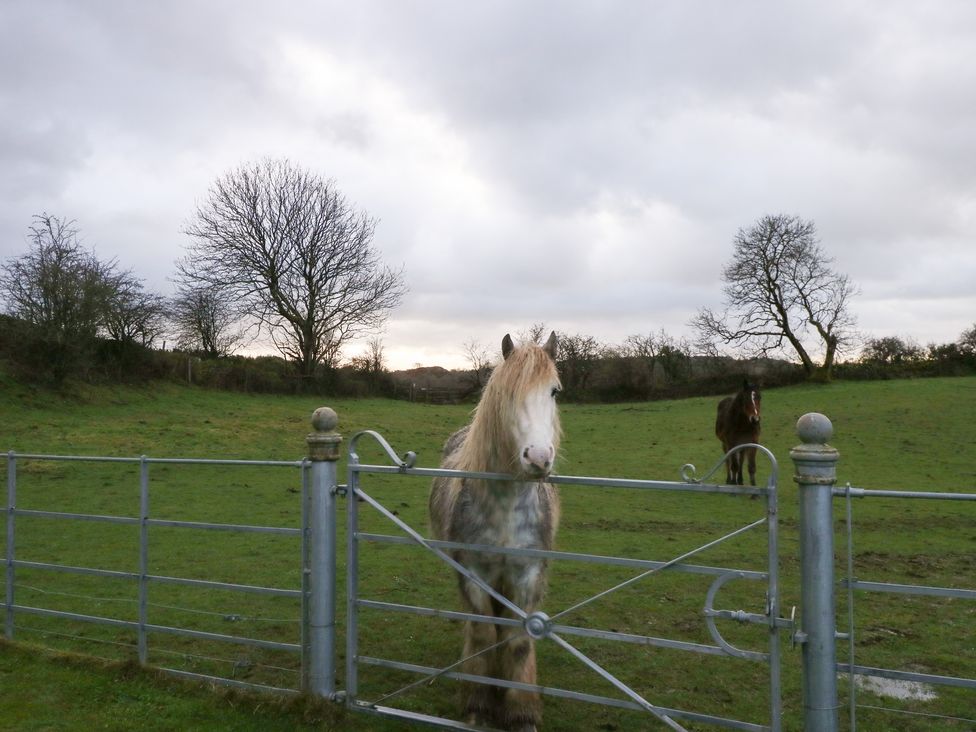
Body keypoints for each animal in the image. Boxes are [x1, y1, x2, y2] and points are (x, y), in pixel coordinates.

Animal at [430, 334, 560, 732]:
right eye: (508, 392)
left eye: (554, 391)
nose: (538, 458)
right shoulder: (474, 574)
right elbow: (484, 634)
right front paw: (479, 707)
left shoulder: (527, 575)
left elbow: (517, 639)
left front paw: (521, 714)